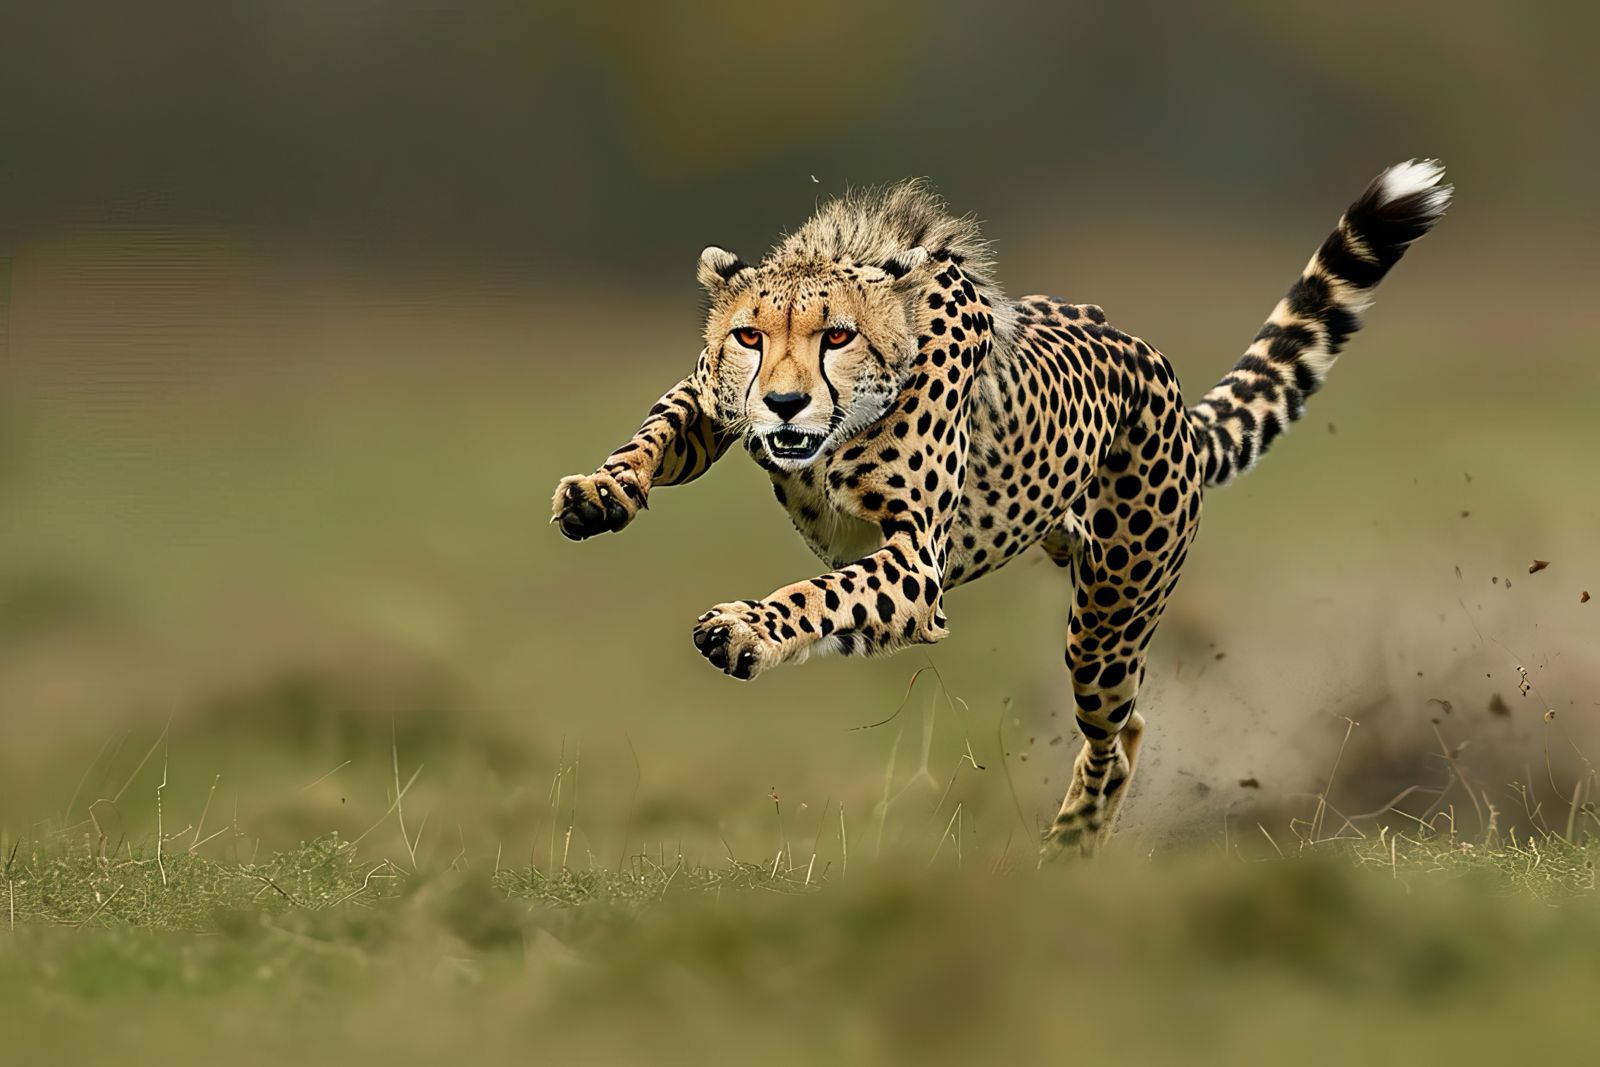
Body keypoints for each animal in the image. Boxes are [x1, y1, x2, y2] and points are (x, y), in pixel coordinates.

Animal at [550, 160, 1452, 857]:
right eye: (748, 337)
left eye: (837, 336)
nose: (782, 402)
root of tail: (1157, 369)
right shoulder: (711, 400)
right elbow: (659, 427)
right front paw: (602, 492)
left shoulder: (916, 565)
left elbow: (818, 593)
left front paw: (744, 628)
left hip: (1107, 625)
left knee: (1123, 732)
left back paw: (1069, 846)